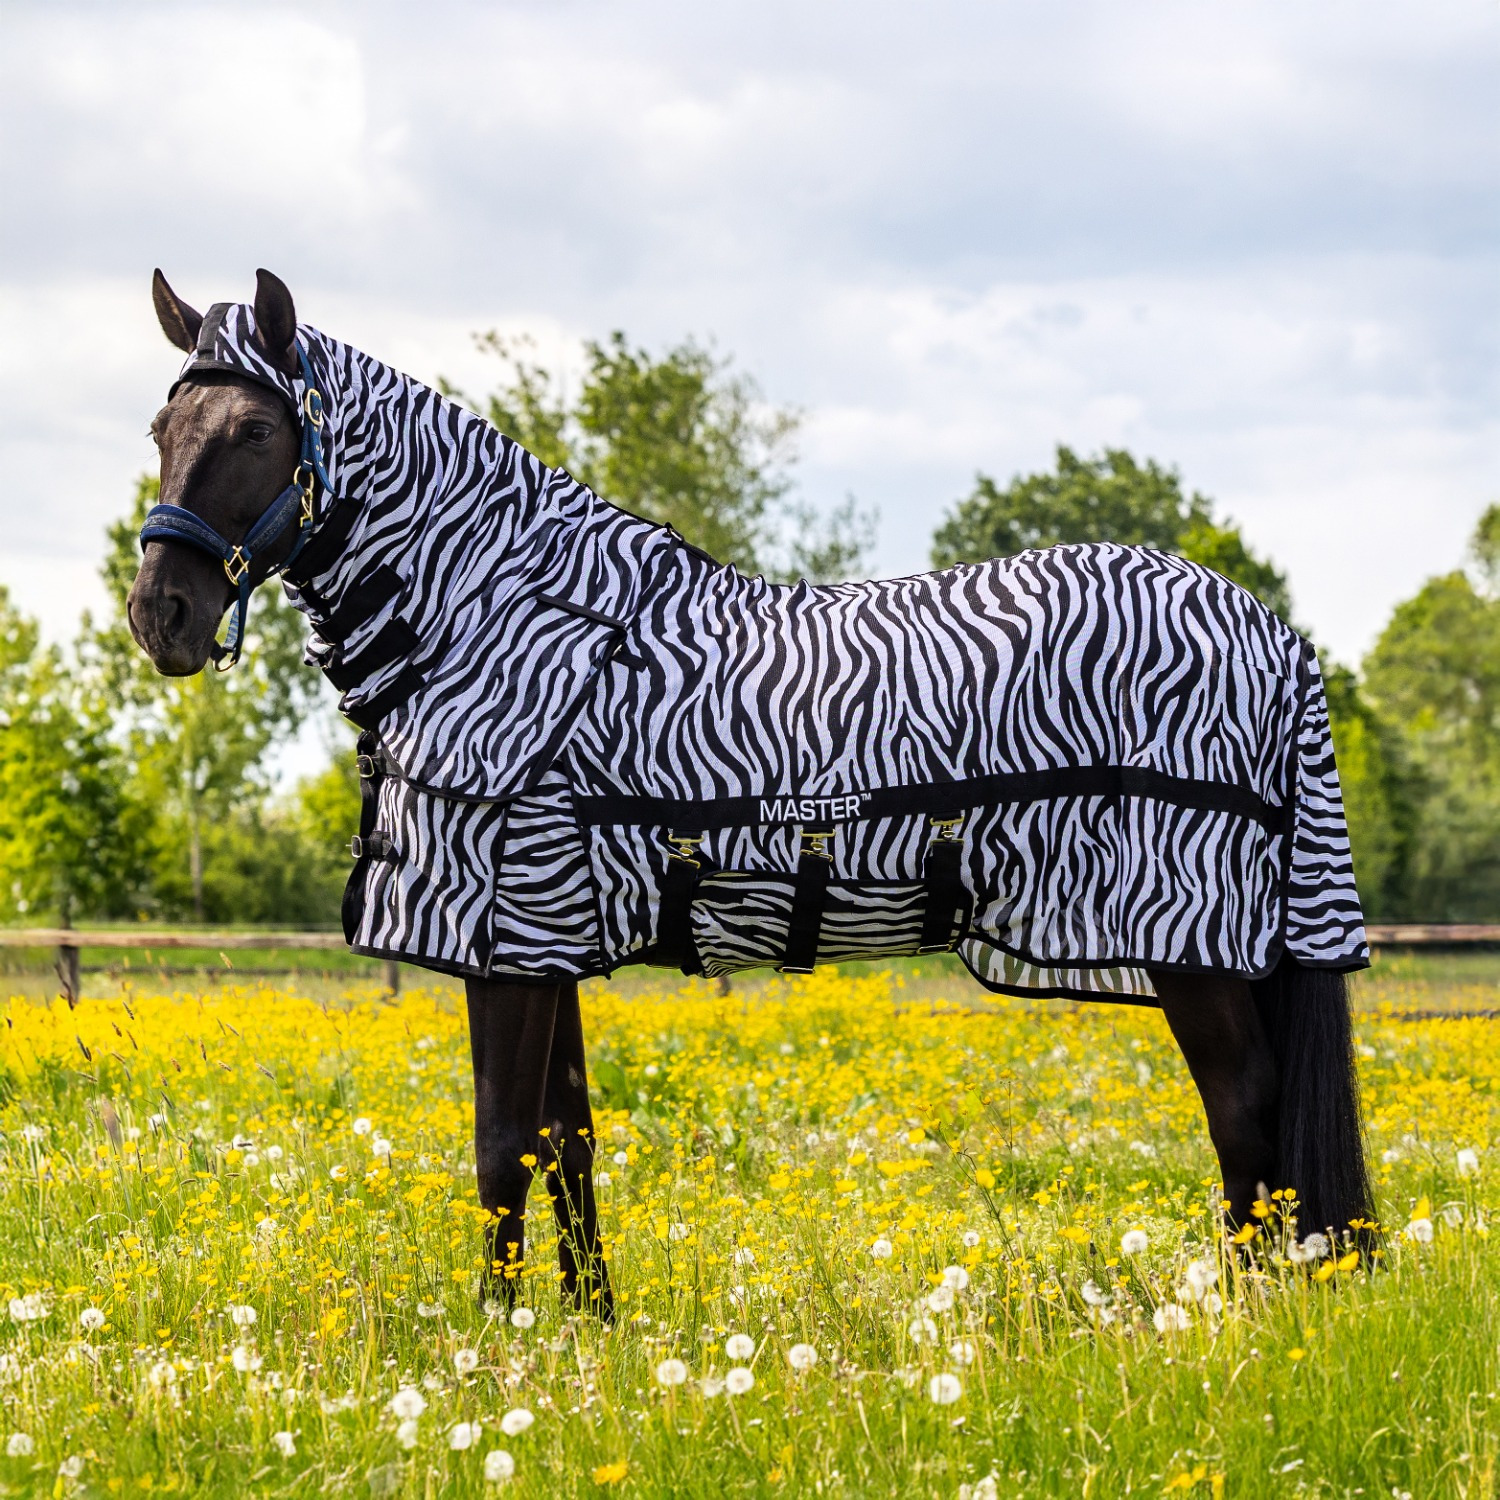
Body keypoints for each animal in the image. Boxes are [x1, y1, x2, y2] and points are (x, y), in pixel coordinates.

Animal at [129, 269, 1373, 1318]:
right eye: (160, 430)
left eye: (254, 431)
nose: (161, 616)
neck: (504, 617)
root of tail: (1274, 632)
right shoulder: (547, 934)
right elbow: (567, 1141)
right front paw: (590, 1334)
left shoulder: (508, 935)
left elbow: (500, 1145)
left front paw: (494, 1346)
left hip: (1193, 946)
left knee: (1247, 1121)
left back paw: (1248, 1326)